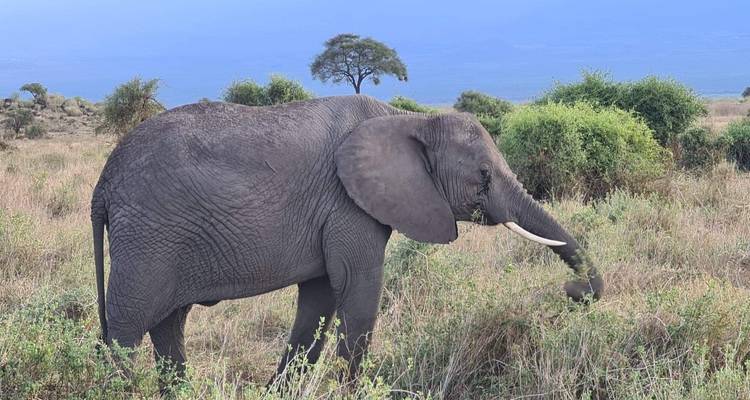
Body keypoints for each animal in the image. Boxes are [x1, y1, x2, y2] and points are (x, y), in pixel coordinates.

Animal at [90, 95, 603, 385]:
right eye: (482, 176)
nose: (574, 291)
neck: (409, 119)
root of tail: (103, 184)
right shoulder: (347, 203)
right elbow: (357, 291)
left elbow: (319, 301)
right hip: (149, 234)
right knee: (126, 327)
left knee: (167, 326)